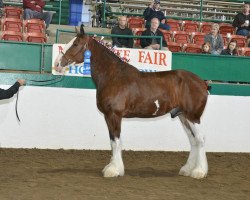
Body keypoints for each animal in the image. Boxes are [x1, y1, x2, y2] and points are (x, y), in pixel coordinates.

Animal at [54, 25, 209, 180]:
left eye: (75, 44)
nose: (57, 64)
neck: (112, 76)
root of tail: (202, 83)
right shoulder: (108, 116)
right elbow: (112, 141)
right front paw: (112, 167)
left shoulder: (114, 115)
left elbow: (116, 142)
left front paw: (114, 170)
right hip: (183, 116)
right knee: (193, 140)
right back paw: (187, 169)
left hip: (192, 117)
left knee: (200, 139)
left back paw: (199, 171)